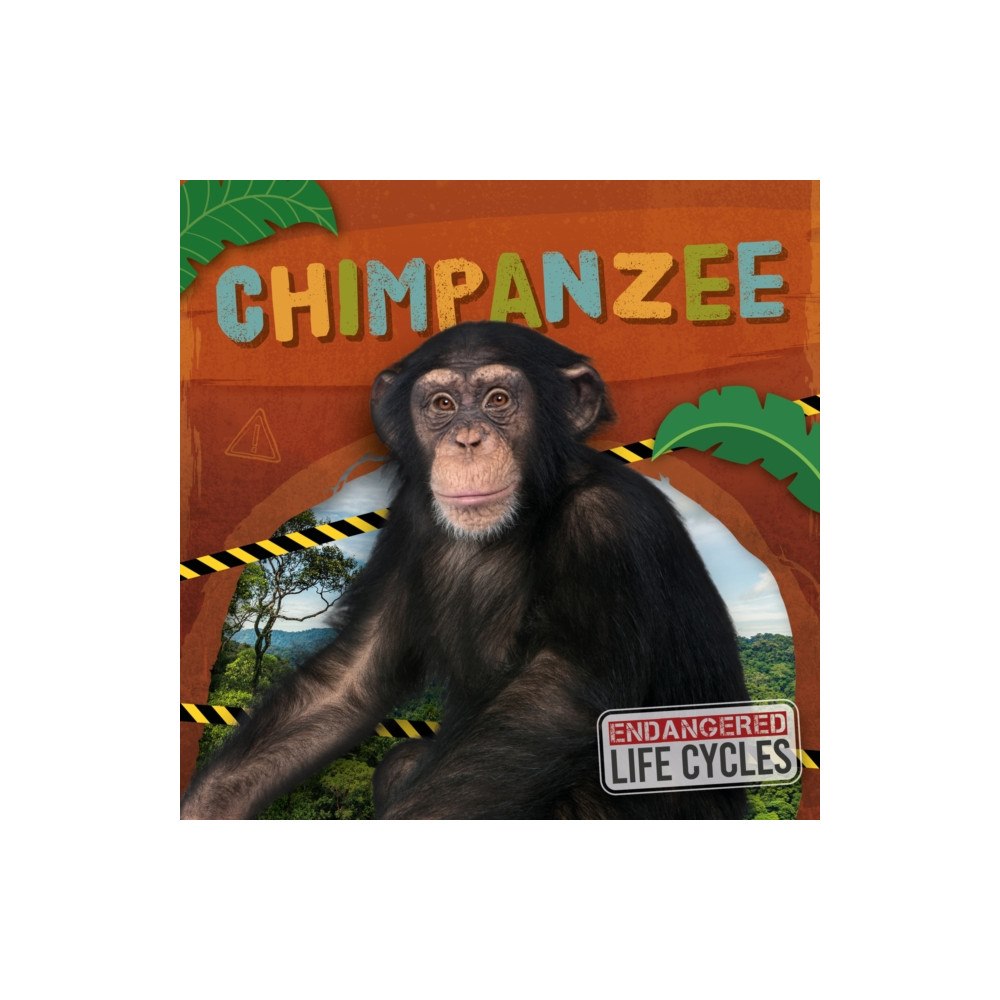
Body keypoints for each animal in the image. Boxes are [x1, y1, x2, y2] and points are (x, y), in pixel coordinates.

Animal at [181, 321, 748, 819]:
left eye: (498, 400)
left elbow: (555, 700)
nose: (468, 439)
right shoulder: (410, 519)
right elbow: (352, 677)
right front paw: (210, 807)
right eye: (443, 405)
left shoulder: (608, 524)